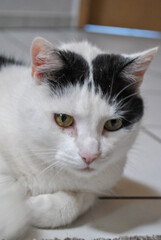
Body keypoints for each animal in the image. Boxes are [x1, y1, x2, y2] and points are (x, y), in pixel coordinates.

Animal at [0, 36, 157, 239]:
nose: (90, 155)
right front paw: (11, 216)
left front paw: (32, 208)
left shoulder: (100, 182)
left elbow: (78, 201)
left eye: (113, 123)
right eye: (63, 119)